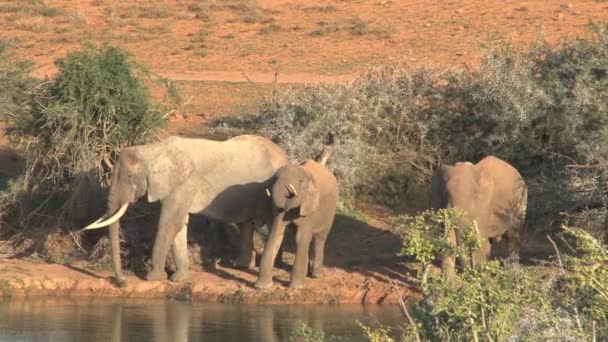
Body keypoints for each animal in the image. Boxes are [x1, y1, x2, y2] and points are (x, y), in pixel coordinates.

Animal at [82, 135, 288, 284]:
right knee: (246, 223)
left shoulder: (182, 185)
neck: (152, 150)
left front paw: (153, 278)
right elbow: (179, 225)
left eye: (130, 177)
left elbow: (169, 223)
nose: (121, 282)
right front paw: (179, 279)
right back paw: (241, 265)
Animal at [252, 158, 338, 288]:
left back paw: (317, 275)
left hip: (329, 213)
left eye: (301, 182)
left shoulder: (308, 207)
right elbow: (275, 234)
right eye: (275, 179)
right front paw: (262, 287)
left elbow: (301, 238)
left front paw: (297, 287)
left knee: (319, 238)